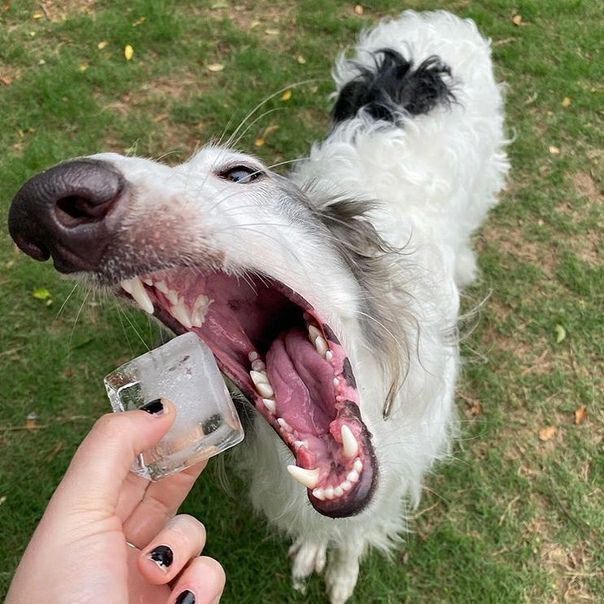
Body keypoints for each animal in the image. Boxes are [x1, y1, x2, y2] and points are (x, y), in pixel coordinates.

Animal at [9, 10, 510, 604]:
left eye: (242, 173)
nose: (42, 206)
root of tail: (429, 26)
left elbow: (357, 534)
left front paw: (341, 570)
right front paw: (315, 552)